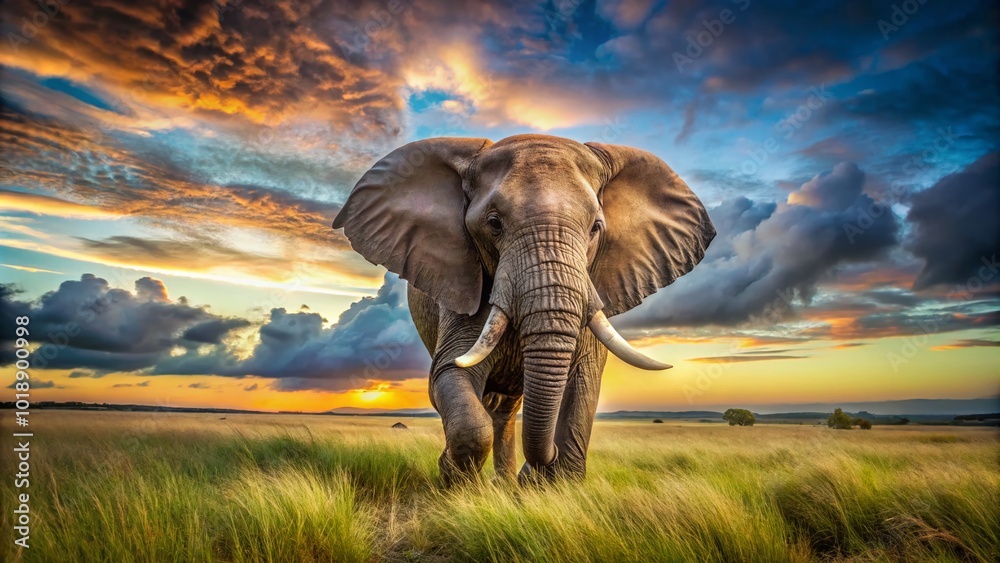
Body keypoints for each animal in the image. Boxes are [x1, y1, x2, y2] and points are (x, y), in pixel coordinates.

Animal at [332, 134, 715, 484]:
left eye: (595, 227)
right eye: (494, 223)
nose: (536, 468)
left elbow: (584, 380)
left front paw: (555, 485)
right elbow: (451, 376)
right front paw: (454, 485)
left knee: (505, 410)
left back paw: (506, 485)